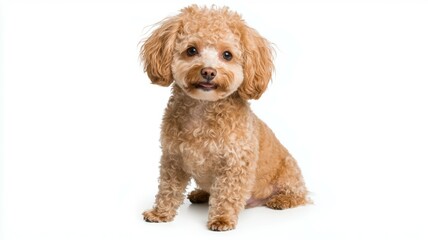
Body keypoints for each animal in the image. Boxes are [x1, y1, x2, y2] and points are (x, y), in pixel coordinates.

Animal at [140, 5, 308, 231]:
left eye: (227, 55)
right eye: (191, 50)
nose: (208, 72)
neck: (202, 110)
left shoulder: (234, 164)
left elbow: (227, 194)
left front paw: (222, 220)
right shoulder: (173, 159)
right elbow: (168, 189)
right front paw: (160, 213)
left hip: (289, 173)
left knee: (299, 194)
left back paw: (282, 200)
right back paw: (201, 193)